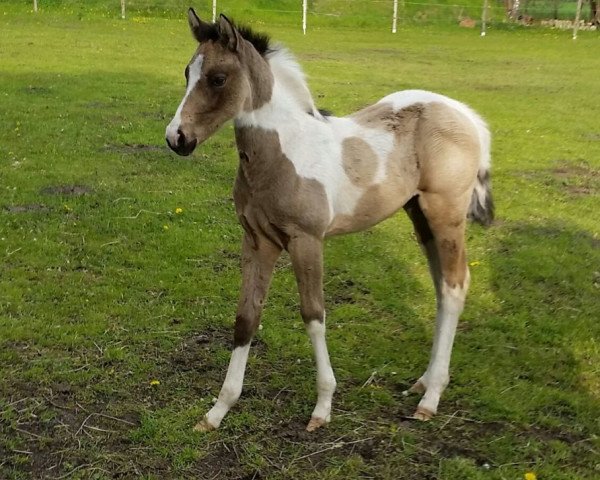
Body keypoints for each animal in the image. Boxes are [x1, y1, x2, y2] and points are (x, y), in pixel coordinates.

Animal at [163, 11, 492, 434]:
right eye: (187, 72)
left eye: (218, 78)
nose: (177, 138)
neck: (283, 152)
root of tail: (466, 115)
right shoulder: (257, 240)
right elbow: (246, 317)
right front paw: (218, 411)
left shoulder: (307, 240)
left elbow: (313, 315)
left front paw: (323, 406)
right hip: (420, 215)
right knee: (440, 287)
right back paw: (422, 382)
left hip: (446, 213)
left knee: (454, 286)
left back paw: (430, 398)